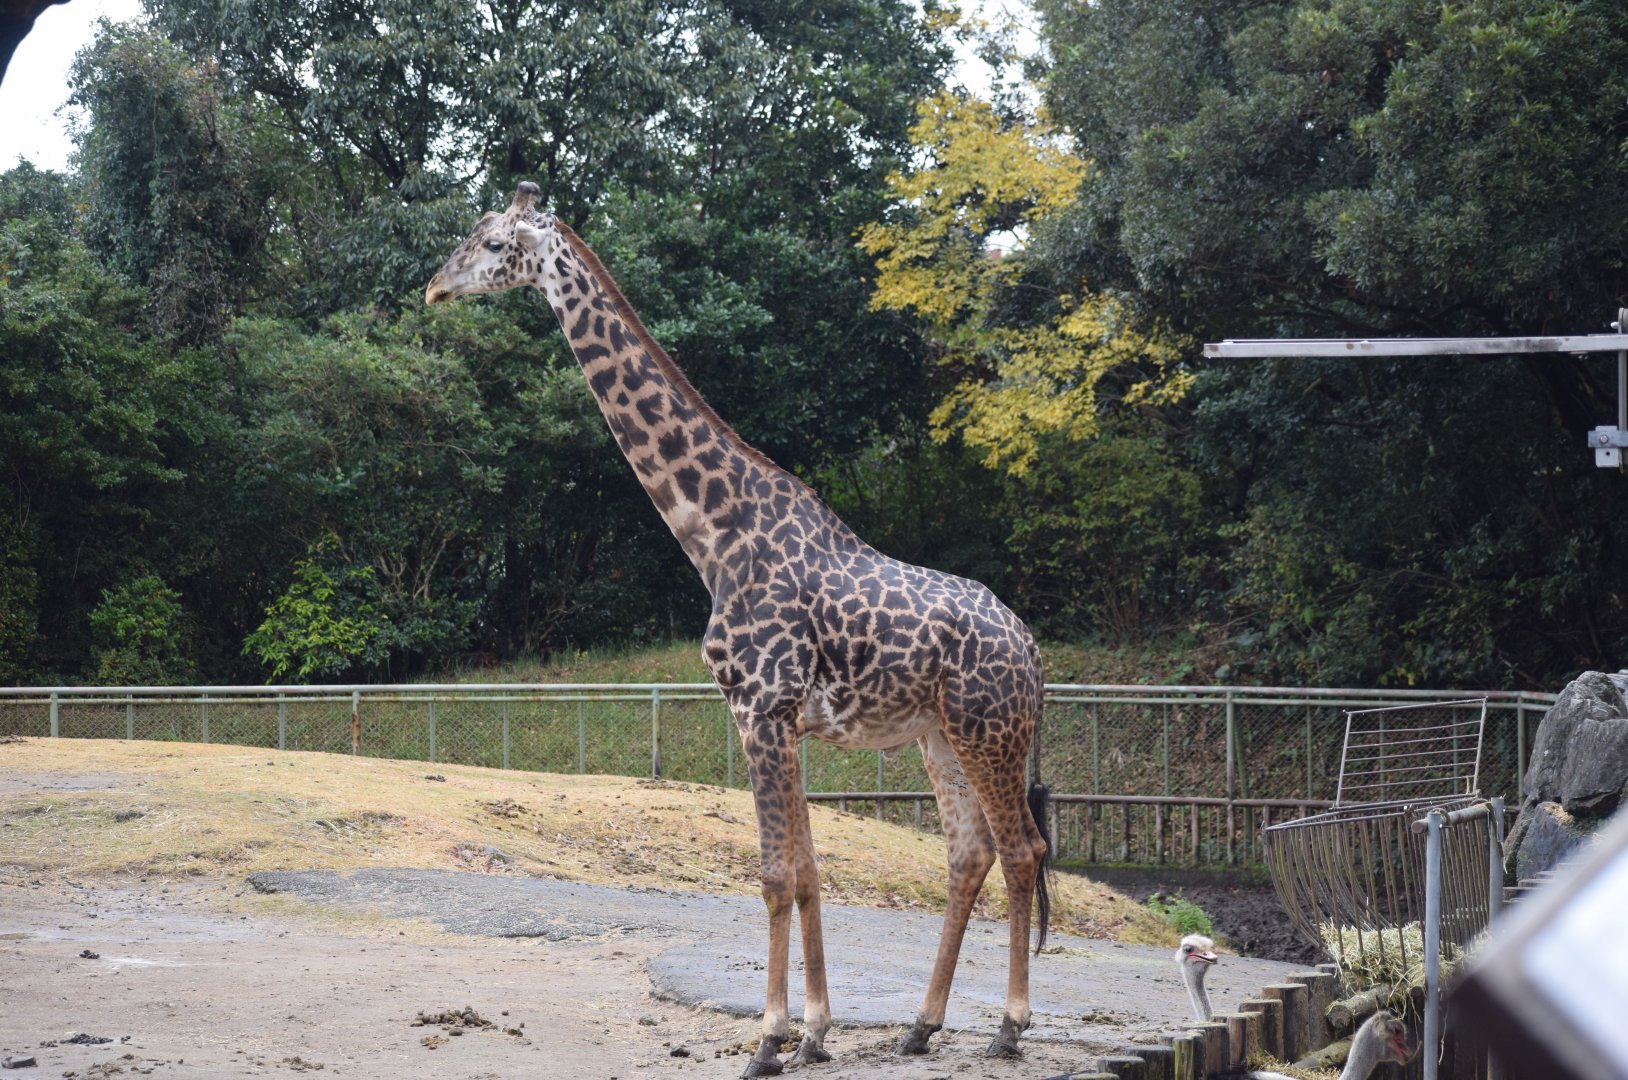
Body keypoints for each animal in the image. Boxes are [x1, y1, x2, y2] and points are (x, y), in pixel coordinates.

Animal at [426, 182, 1052, 1076]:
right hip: (940, 735)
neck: (713, 536)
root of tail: (1031, 648)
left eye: (486, 241)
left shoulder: (762, 706)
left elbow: (773, 875)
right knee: (970, 854)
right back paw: (921, 1026)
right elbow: (810, 869)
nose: (433, 288)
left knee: (1024, 850)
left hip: (988, 729)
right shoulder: (770, 716)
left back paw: (1007, 1026)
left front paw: (768, 1039)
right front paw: (816, 1033)